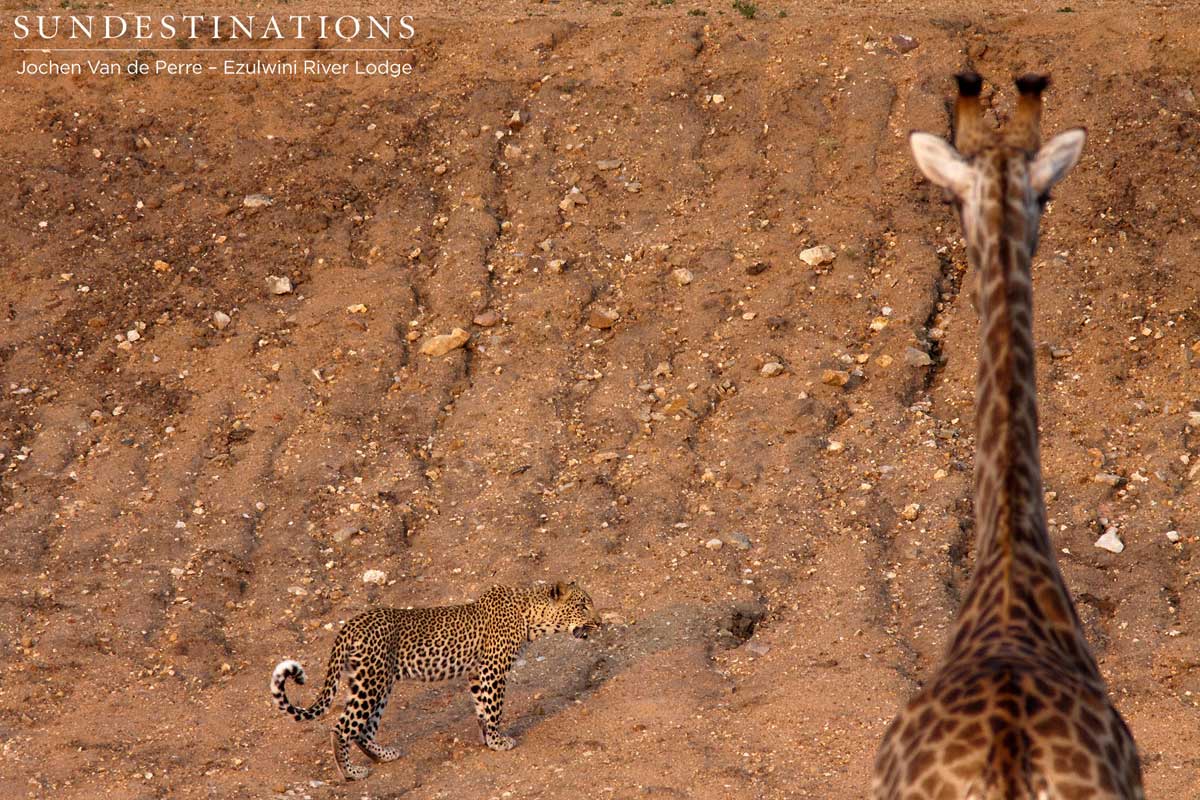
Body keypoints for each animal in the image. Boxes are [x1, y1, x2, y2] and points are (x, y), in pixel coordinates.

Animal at [270, 581, 600, 781]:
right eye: (582, 606)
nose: (600, 622)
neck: (531, 618)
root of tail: (349, 625)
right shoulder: (493, 669)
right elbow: (494, 707)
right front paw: (499, 741)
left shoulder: (477, 673)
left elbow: (482, 708)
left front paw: (488, 739)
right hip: (372, 681)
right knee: (343, 726)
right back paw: (351, 772)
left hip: (375, 681)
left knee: (363, 727)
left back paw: (384, 755)